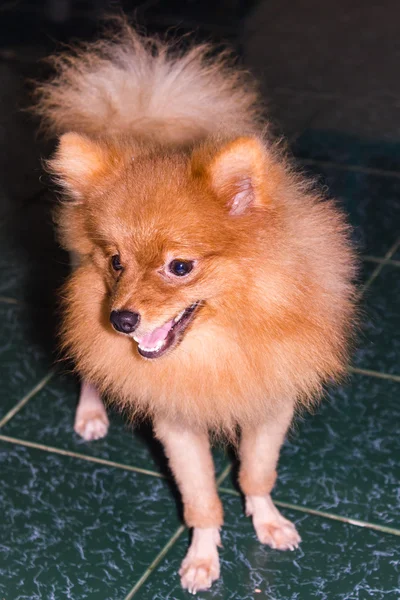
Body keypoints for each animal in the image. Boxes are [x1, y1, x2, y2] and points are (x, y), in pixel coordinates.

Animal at [35, 19, 356, 596]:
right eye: (116, 261)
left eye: (179, 266)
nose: (121, 320)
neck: (223, 338)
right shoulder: (177, 420)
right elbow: (200, 498)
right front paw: (203, 556)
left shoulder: (271, 401)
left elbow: (255, 474)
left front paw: (267, 520)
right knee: (89, 363)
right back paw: (91, 413)